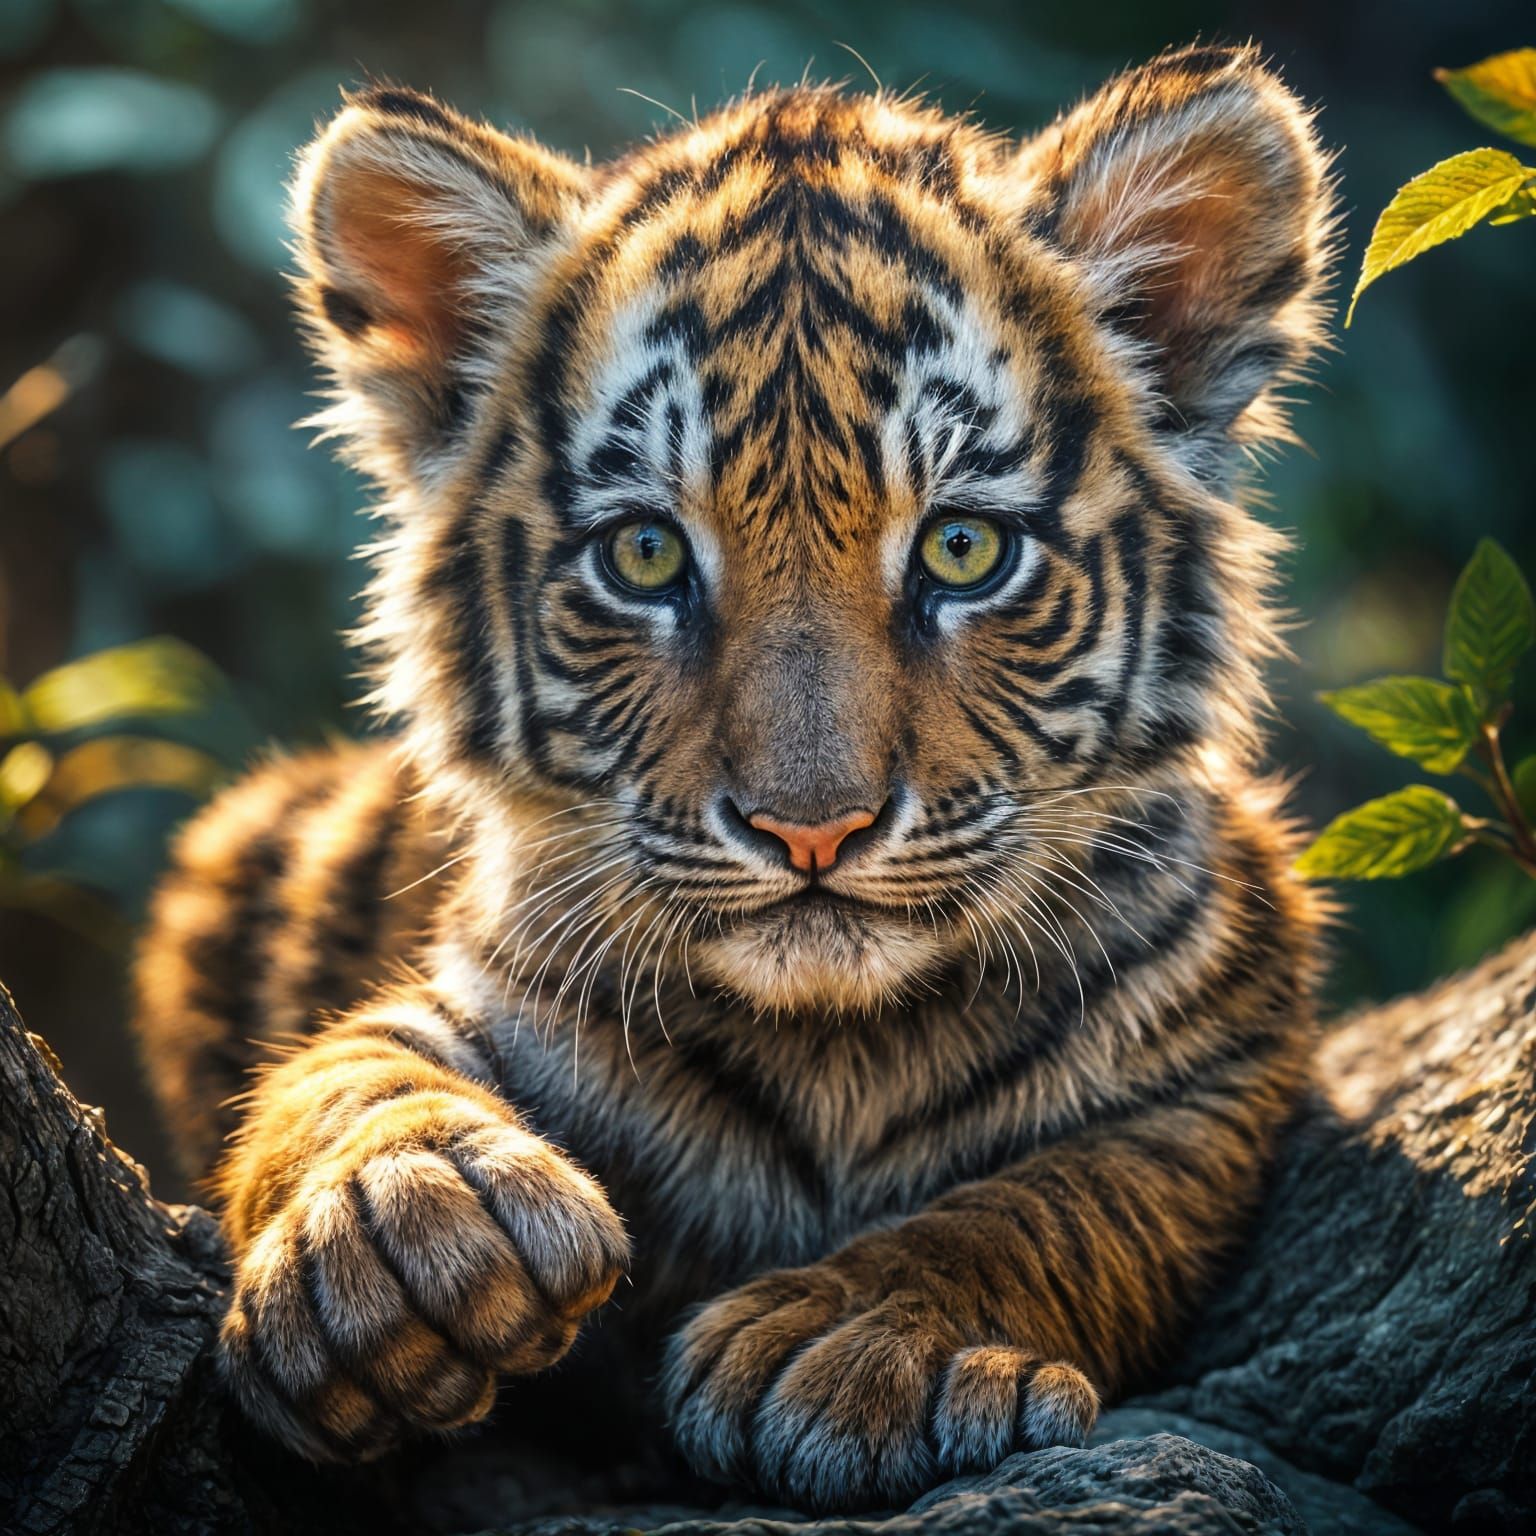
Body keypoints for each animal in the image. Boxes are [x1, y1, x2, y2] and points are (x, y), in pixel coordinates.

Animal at [132, 43, 1334, 1514]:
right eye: (646, 555)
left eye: (965, 550)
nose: (812, 831)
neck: (840, 1047)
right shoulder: (501, 989)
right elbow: (346, 1069)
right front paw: (393, 1226)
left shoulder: (1223, 1060)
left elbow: (1064, 1199)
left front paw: (858, 1342)